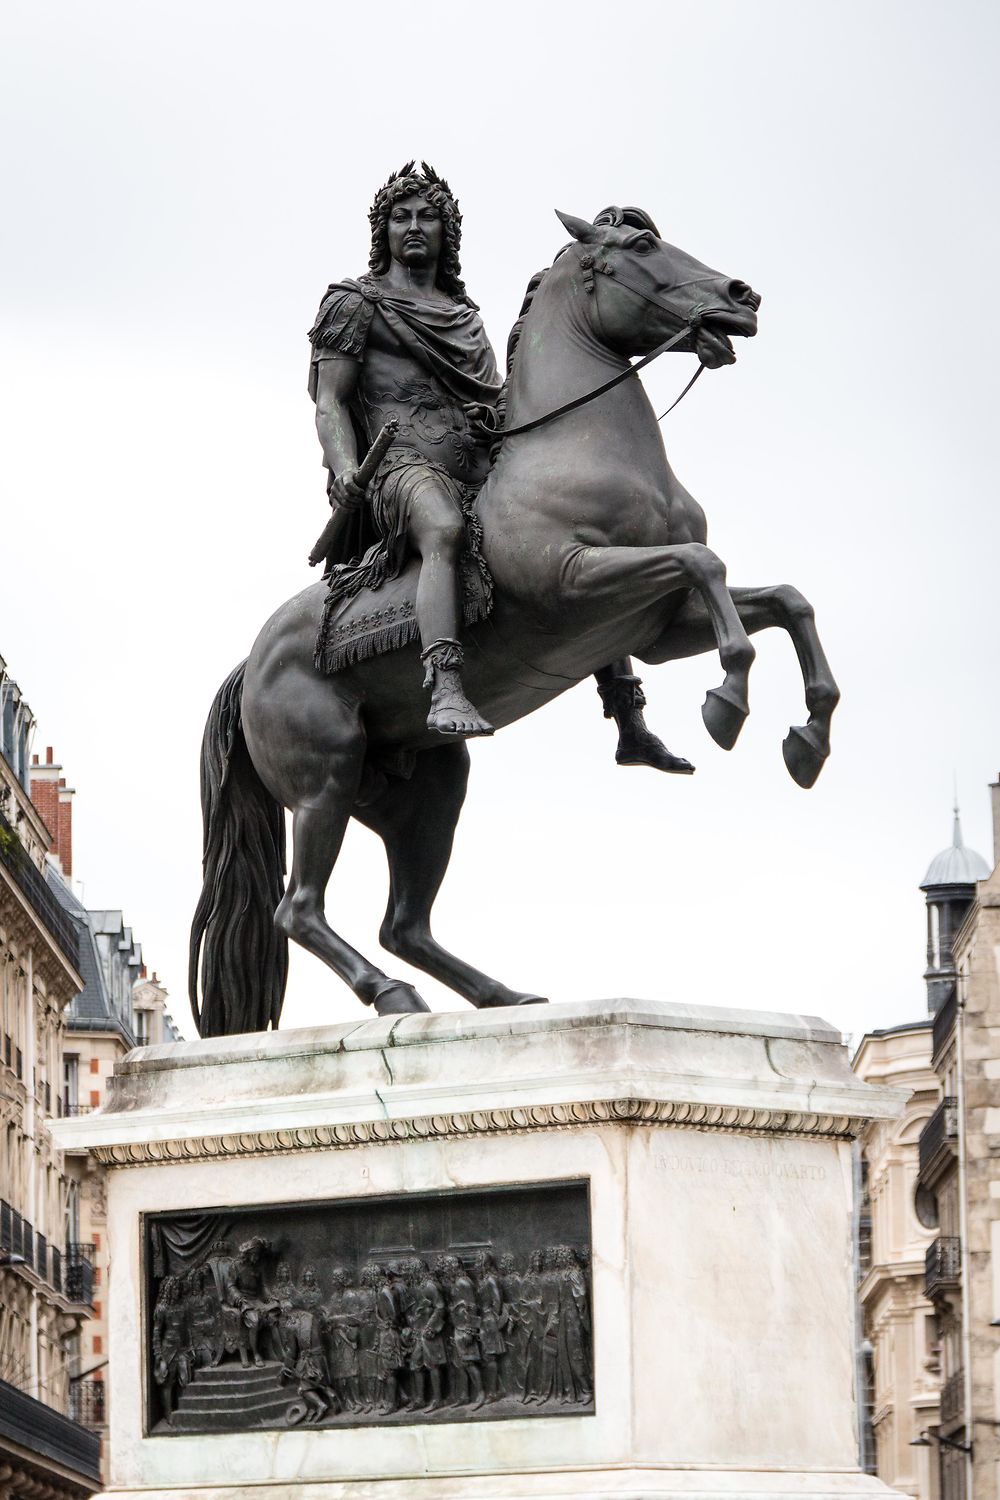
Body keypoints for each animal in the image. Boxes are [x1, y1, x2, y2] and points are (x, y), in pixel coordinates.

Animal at [187, 208, 839, 1032]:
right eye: (640, 248)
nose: (741, 295)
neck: (582, 448)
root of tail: (250, 667)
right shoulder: (579, 584)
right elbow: (704, 563)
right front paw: (727, 703)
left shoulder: (657, 629)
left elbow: (785, 598)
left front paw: (808, 736)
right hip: (323, 781)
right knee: (299, 910)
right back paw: (394, 994)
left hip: (428, 791)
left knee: (404, 923)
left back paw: (501, 996)